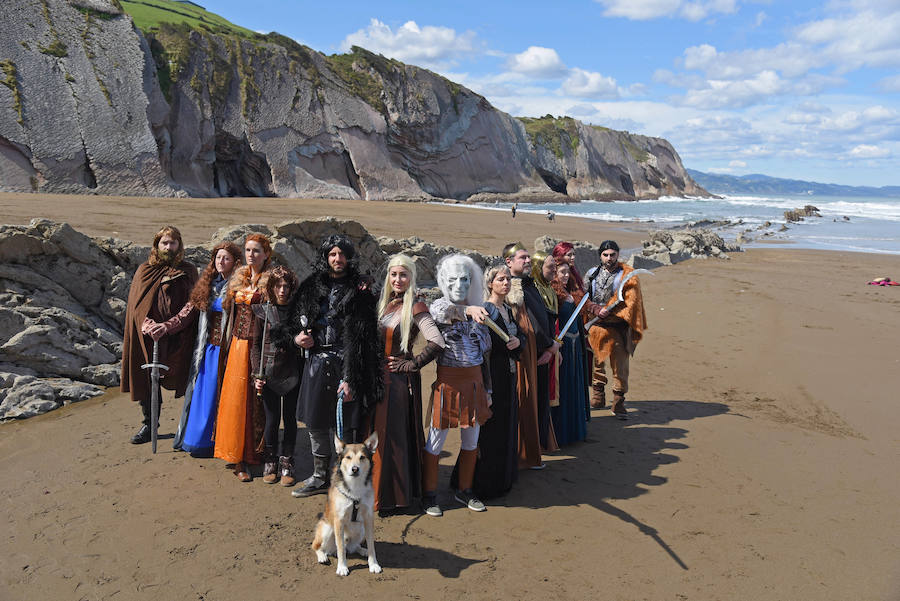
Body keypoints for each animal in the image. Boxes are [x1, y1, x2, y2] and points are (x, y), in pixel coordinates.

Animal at [312, 428, 382, 576]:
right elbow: (341, 549)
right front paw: (342, 567)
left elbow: (371, 545)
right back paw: (322, 556)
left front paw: (373, 564)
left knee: (352, 547)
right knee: (316, 545)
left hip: (360, 528)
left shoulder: (368, 518)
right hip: (327, 529)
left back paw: (361, 550)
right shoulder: (339, 520)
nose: (355, 469)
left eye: (362, 457)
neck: (355, 487)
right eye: (348, 457)